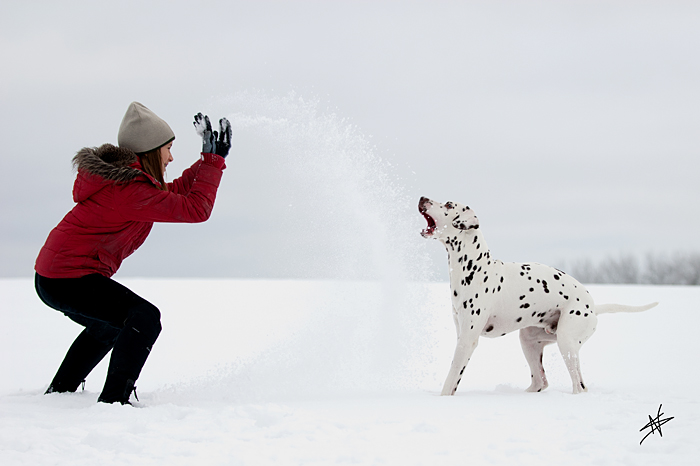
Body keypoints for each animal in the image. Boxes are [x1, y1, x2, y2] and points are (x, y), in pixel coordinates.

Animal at [422, 196, 656, 394]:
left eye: (449, 205)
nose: (423, 198)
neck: (476, 268)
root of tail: (592, 306)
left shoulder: (467, 341)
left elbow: (451, 380)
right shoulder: (462, 334)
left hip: (566, 342)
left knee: (579, 385)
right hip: (529, 341)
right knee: (540, 382)